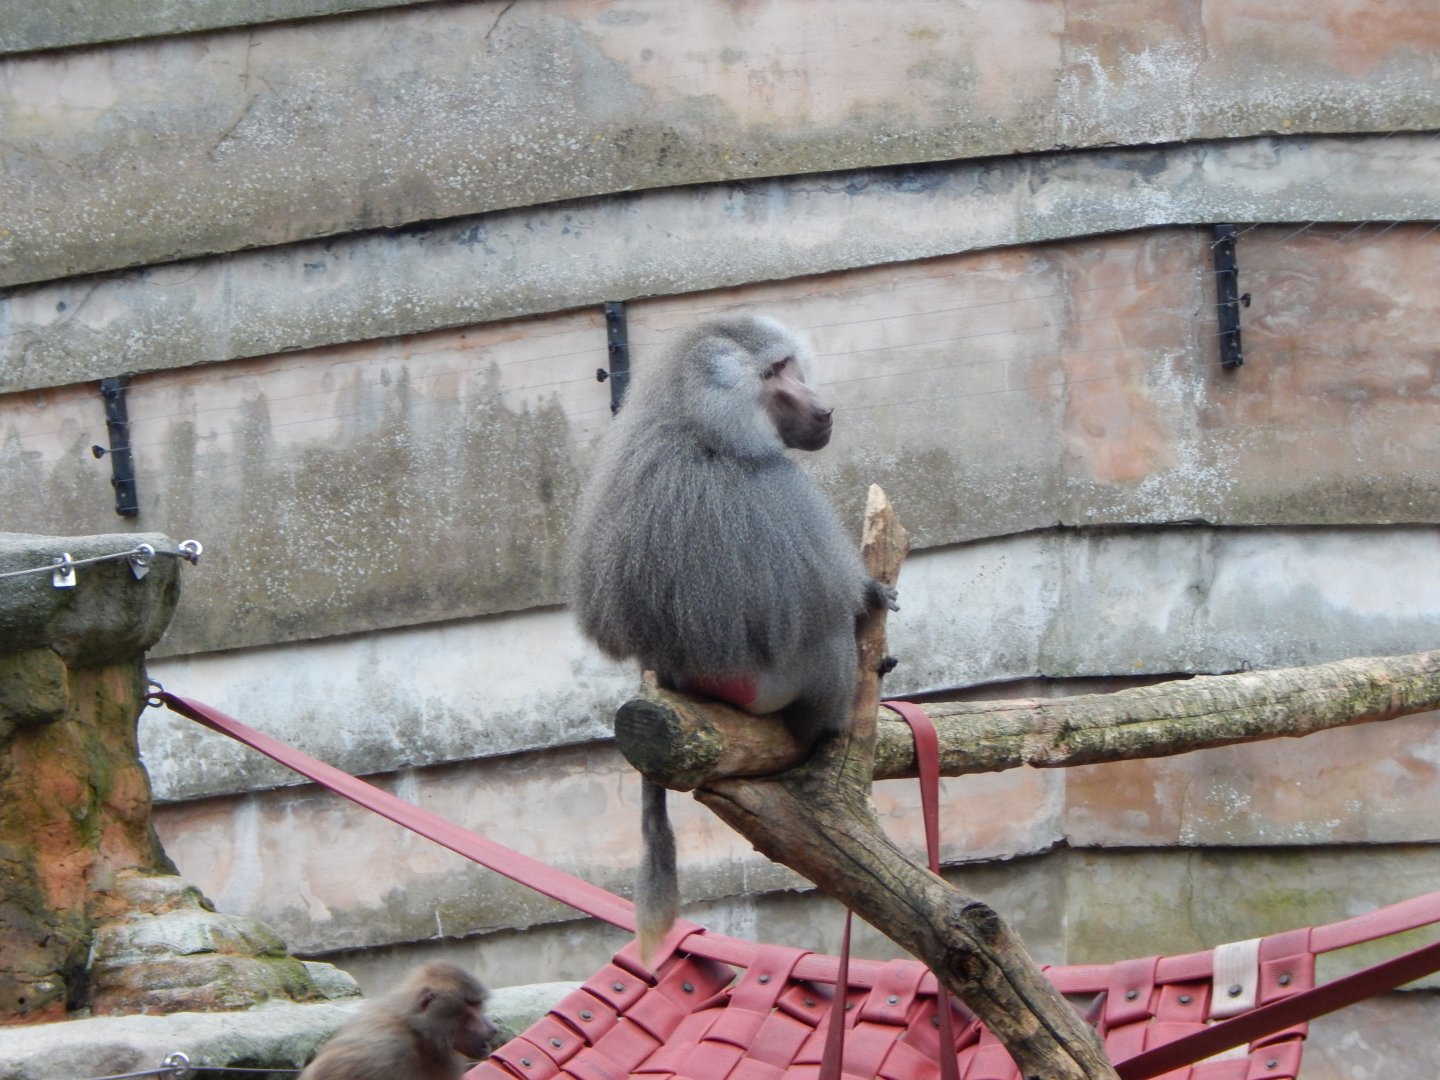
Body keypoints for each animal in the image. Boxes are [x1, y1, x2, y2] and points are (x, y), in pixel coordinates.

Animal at [565, 313, 896, 961]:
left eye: (789, 365)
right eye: (771, 375)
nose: (825, 410)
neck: (695, 419)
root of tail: (669, 672)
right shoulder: (776, 485)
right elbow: (828, 600)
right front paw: (871, 594)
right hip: (764, 684)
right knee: (821, 636)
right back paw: (821, 730)